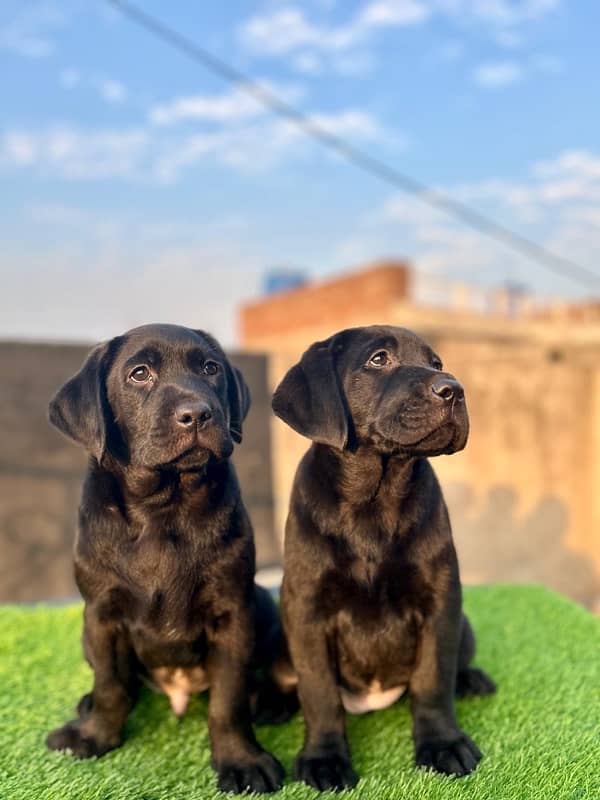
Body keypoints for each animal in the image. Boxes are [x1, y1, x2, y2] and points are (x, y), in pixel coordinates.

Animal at [45, 322, 284, 792]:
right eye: (139, 374)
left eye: (210, 368)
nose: (197, 413)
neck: (164, 507)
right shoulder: (101, 614)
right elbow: (111, 683)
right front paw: (94, 736)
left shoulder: (232, 612)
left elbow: (228, 698)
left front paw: (241, 759)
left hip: (262, 602)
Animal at [274, 326, 496, 792]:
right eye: (378, 359)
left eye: (436, 363)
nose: (454, 389)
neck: (374, 502)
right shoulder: (307, 610)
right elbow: (318, 691)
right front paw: (324, 759)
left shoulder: (439, 601)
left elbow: (432, 679)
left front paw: (442, 744)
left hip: (463, 622)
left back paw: (471, 679)